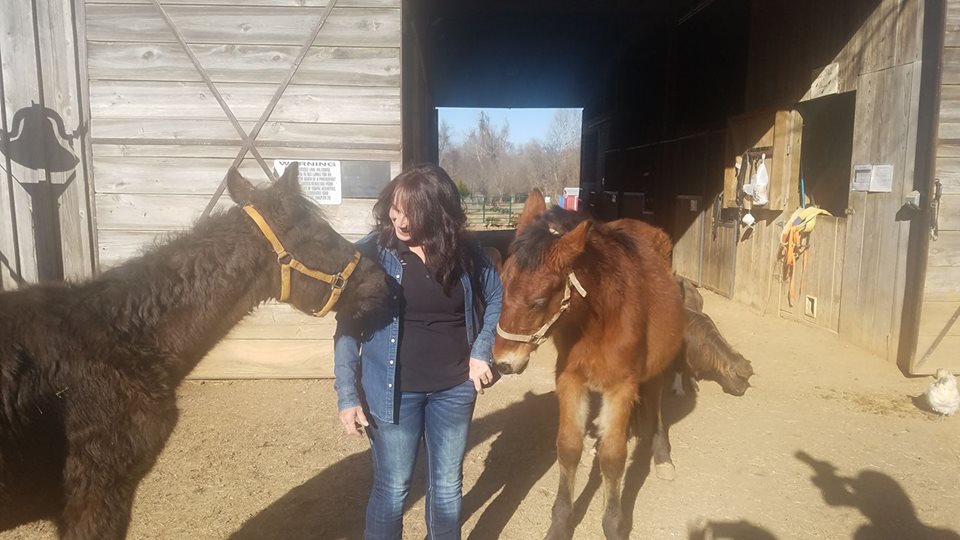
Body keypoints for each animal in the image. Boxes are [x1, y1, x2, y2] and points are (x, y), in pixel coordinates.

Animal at [492, 192, 685, 540]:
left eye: (539, 301)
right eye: (502, 285)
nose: (503, 363)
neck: (601, 320)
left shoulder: (621, 386)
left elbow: (614, 457)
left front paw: (614, 524)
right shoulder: (570, 379)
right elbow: (568, 447)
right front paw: (559, 523)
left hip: (656, 369)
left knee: (656, 406)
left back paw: (662, 455)